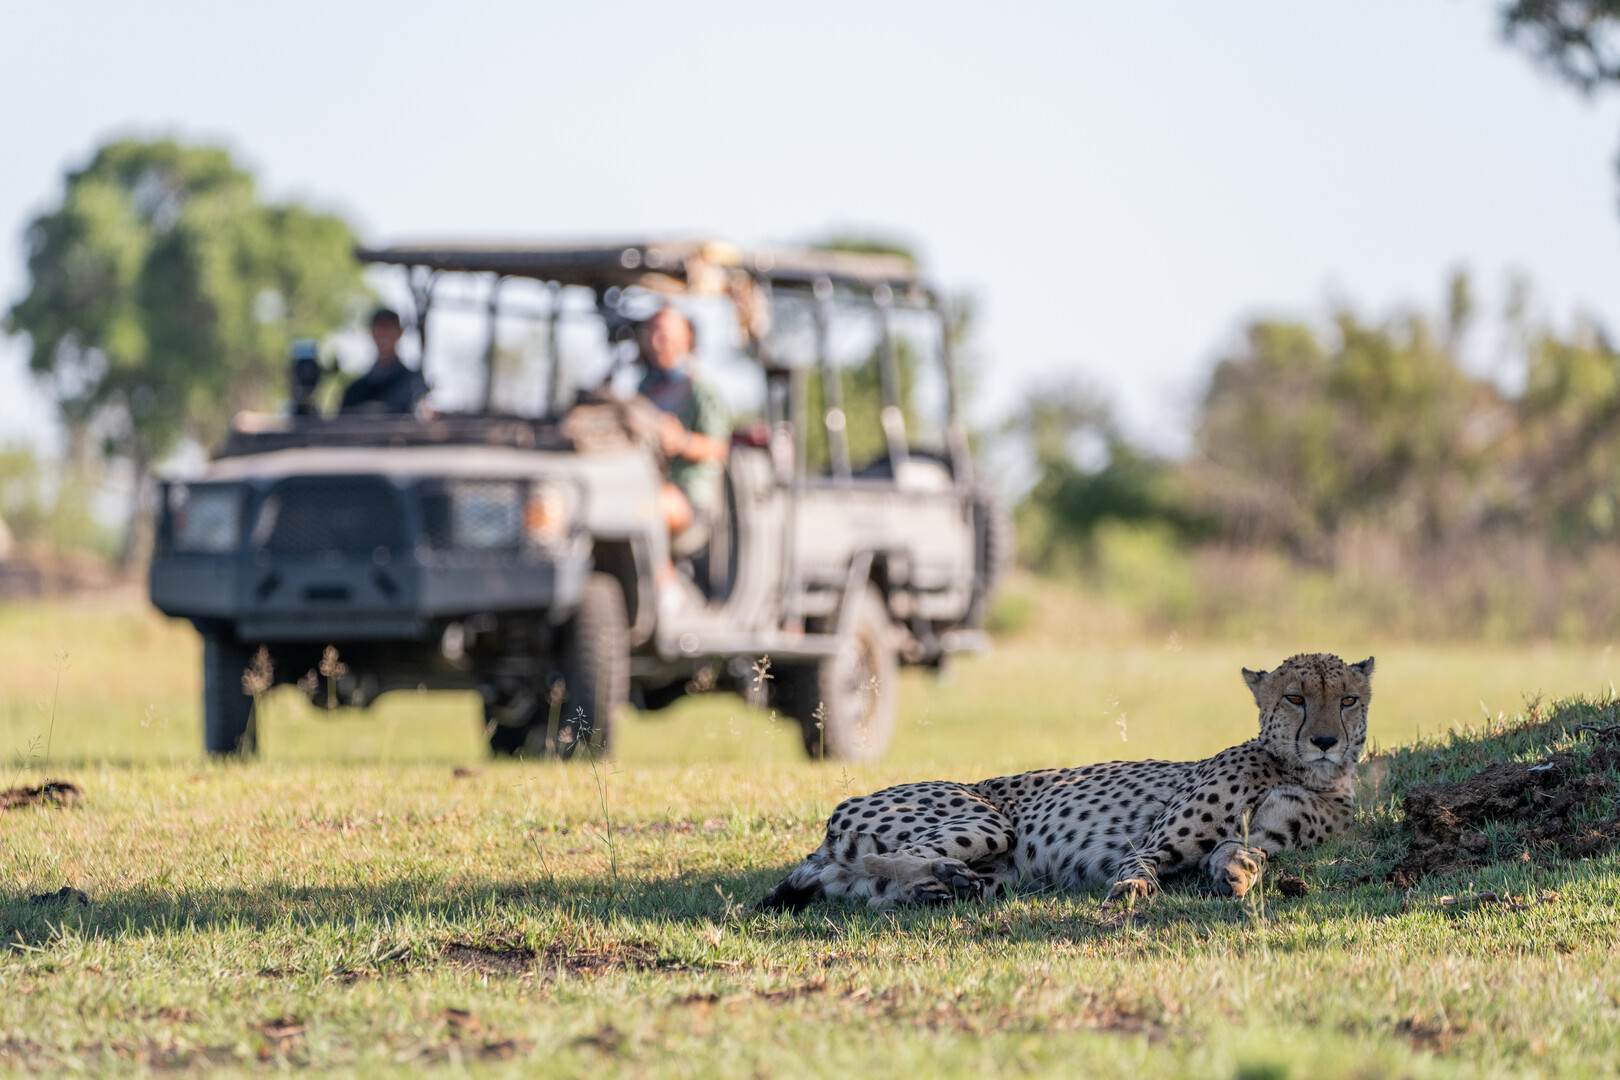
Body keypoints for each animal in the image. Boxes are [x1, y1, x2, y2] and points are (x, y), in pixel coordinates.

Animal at [757, 653, 1372, 910]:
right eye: (1295, 698)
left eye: (1348, 700)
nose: (1325, 741)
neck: (1301, 772)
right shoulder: (1151, 841)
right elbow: (1140, 865)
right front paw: (1134, 891)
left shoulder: (1262, 835)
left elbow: (1243, 851)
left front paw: (1238, 875)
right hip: (987, 820)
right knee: (877, 857)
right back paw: (945, 877)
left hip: (994, 867)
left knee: (866, 879)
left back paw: (947, 885)